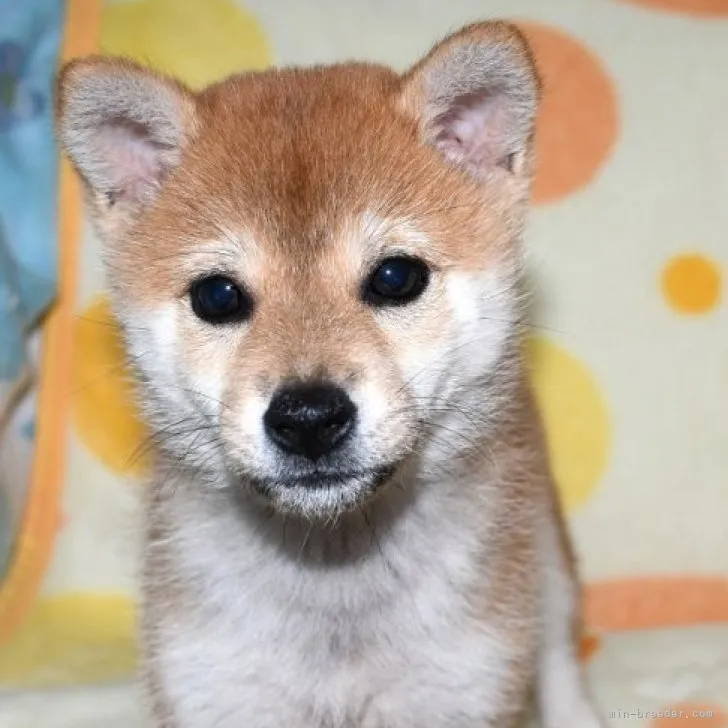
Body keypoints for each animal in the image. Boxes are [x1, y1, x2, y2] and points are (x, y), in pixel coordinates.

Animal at [55, 19, 604, 724]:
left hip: (543, 555)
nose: (309, 418)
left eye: (396, 277)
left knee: (559, 652)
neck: (335, 579)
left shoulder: (456, 688)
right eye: (217, 296)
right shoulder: (219, 690)